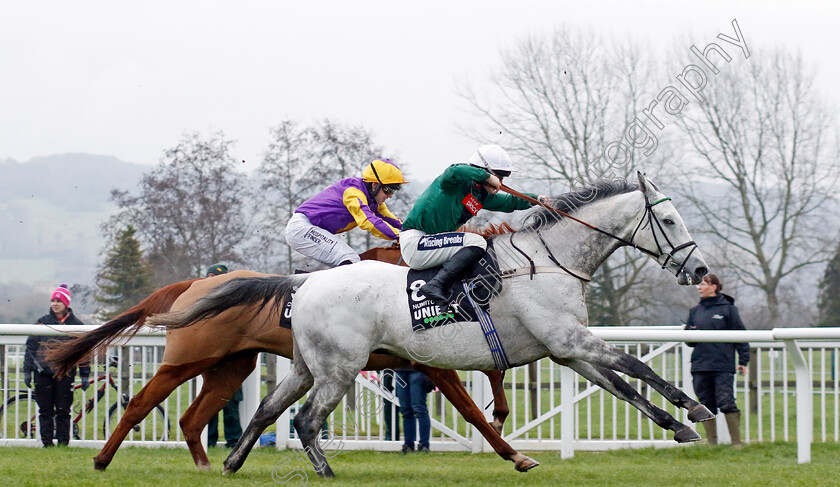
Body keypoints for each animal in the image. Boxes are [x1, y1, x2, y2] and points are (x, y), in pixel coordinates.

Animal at [49, 244, 536, 472]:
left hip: (231, 367)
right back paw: (102, 459)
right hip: (186, 361)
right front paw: (513, 452)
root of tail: (194, 284)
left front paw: (505, 425)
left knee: (192, 418)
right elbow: (471, 409)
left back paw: (208, 465)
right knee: (139, 403)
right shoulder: (430, 362)